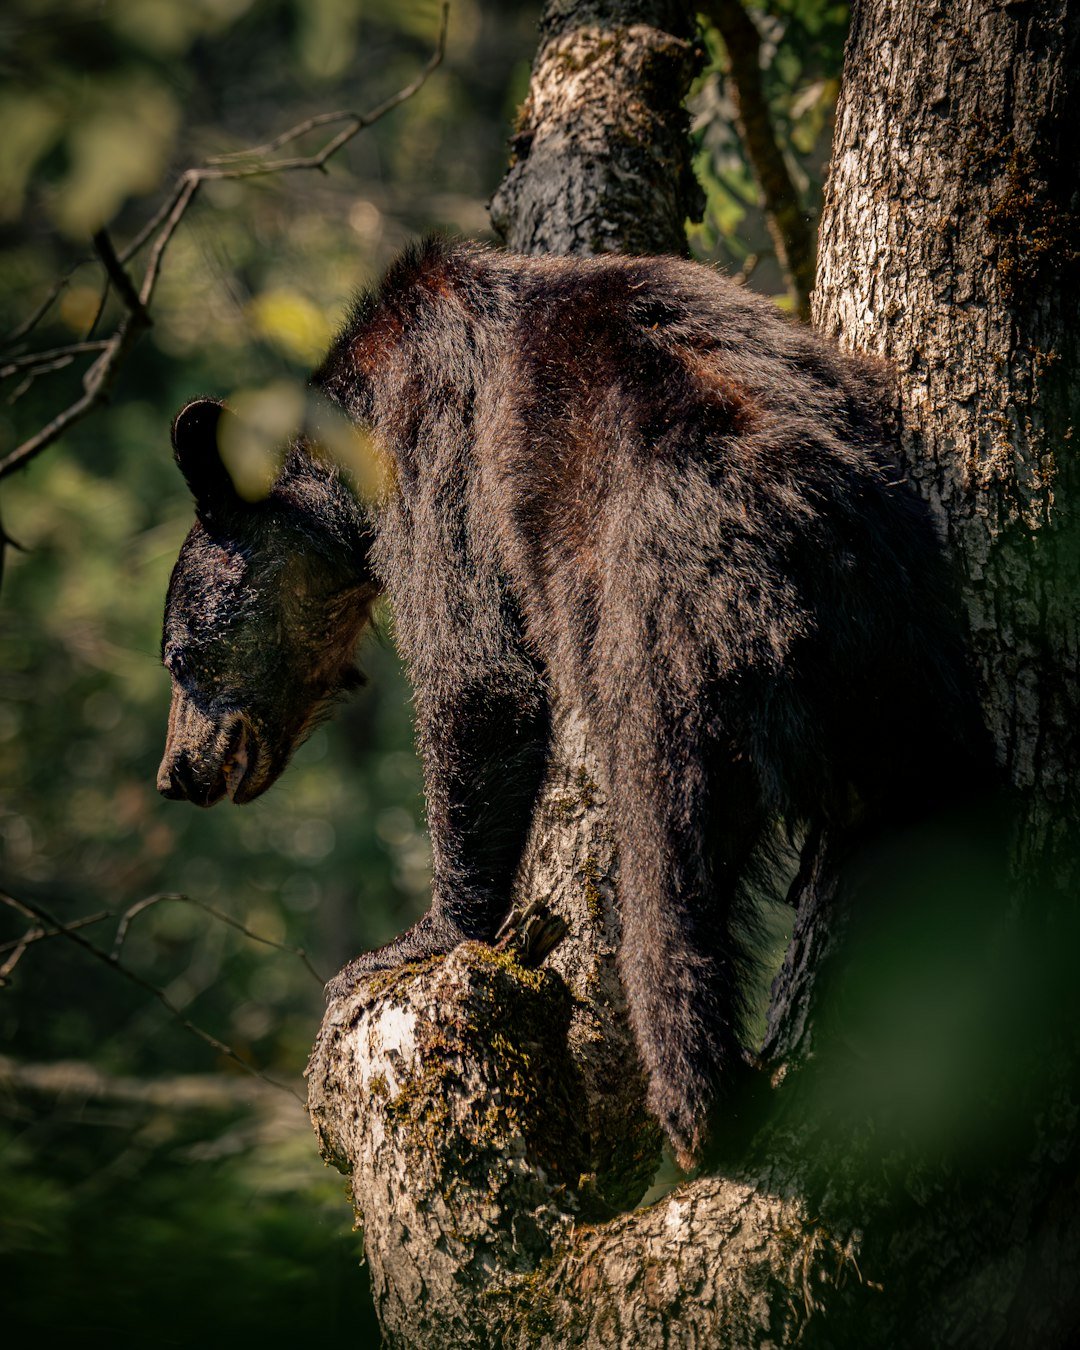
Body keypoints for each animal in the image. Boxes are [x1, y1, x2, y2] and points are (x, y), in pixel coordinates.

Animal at [157, 237, 986, 1167]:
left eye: (179, 659)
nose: (176, 772)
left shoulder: (433, 451)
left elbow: (477, 678)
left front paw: (413, 940)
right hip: (905, 659)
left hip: (659, 662)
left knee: (667, 884)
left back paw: (705, 1108)